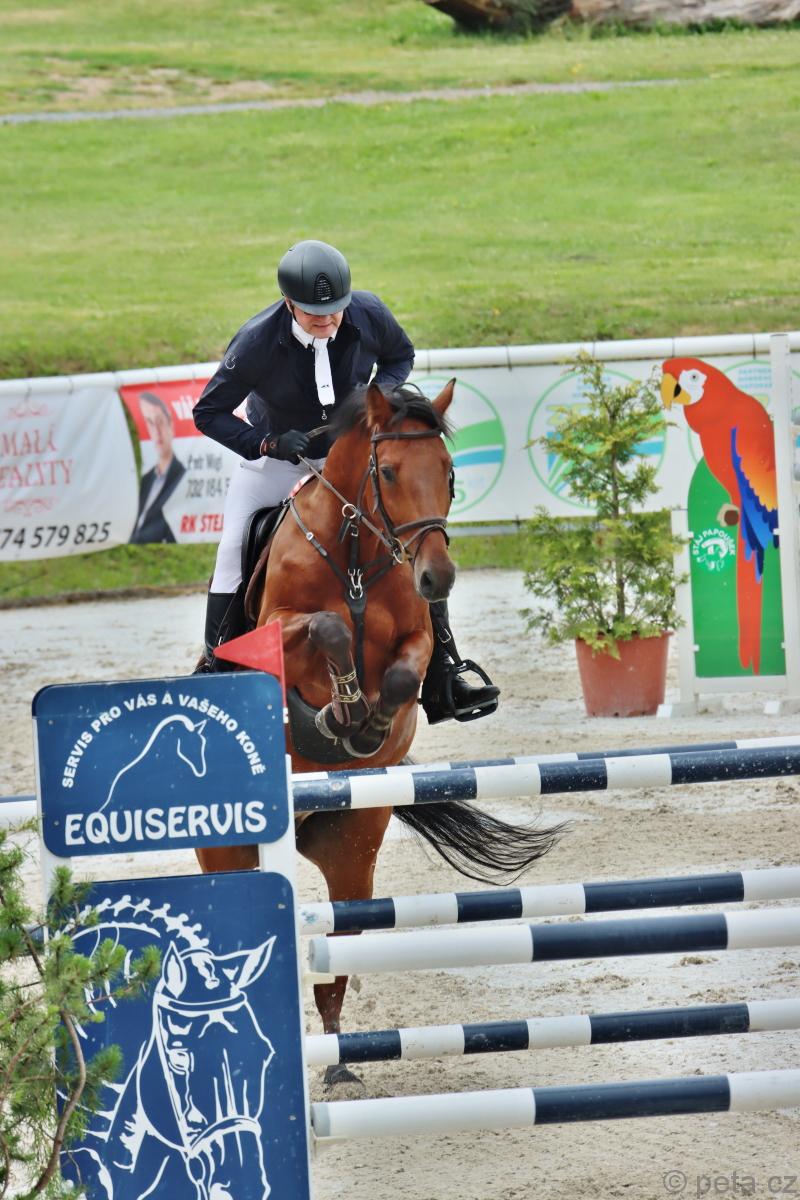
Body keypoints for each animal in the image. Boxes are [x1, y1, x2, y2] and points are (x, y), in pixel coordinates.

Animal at [197, 380, 564, 1087]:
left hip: (352, 847)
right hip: (230, 851)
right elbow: (327, 628)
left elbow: (402, 673)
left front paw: (362, 724)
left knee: (339, 950)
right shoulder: (279, 628)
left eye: (449, 473)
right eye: (388, 472)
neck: (356, 555)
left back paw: (339, 1065)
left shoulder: (417, 636)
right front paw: (335, 709)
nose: (437, 575)